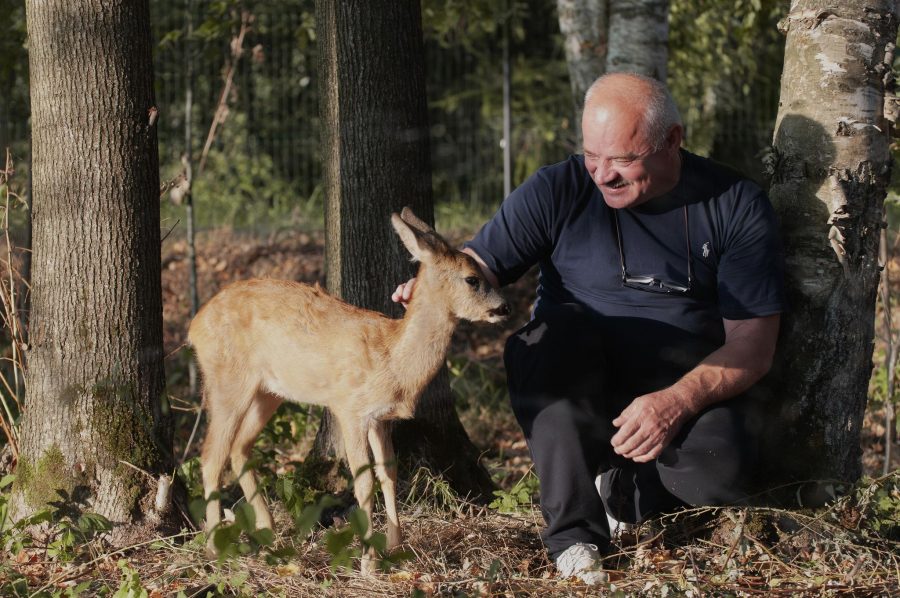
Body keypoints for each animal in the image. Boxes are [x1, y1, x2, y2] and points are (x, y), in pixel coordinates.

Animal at [186, 210, 510, 572]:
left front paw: (395, 546)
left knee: (239, 447)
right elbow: (364, 480)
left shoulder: (381, 417)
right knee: (211, 455)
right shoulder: (350, 408)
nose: (504, 307)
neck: (393, 358)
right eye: (472, 279)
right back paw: (213, 547)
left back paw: (269, 533)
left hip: (268, 392)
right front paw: (369, 561)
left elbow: (389, 473)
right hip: (226, 378)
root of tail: (194, 326)